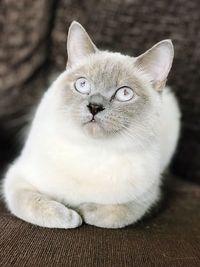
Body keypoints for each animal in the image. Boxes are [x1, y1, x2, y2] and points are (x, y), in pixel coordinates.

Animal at [1, 22, 180, 229]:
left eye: (125, 93)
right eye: (83, 85)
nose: (95, 107)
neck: (93, 151)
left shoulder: (144, 198)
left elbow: (113, 214)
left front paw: (82, 210)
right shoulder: (17, 178)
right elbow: (37, 204)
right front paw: (70, 216)